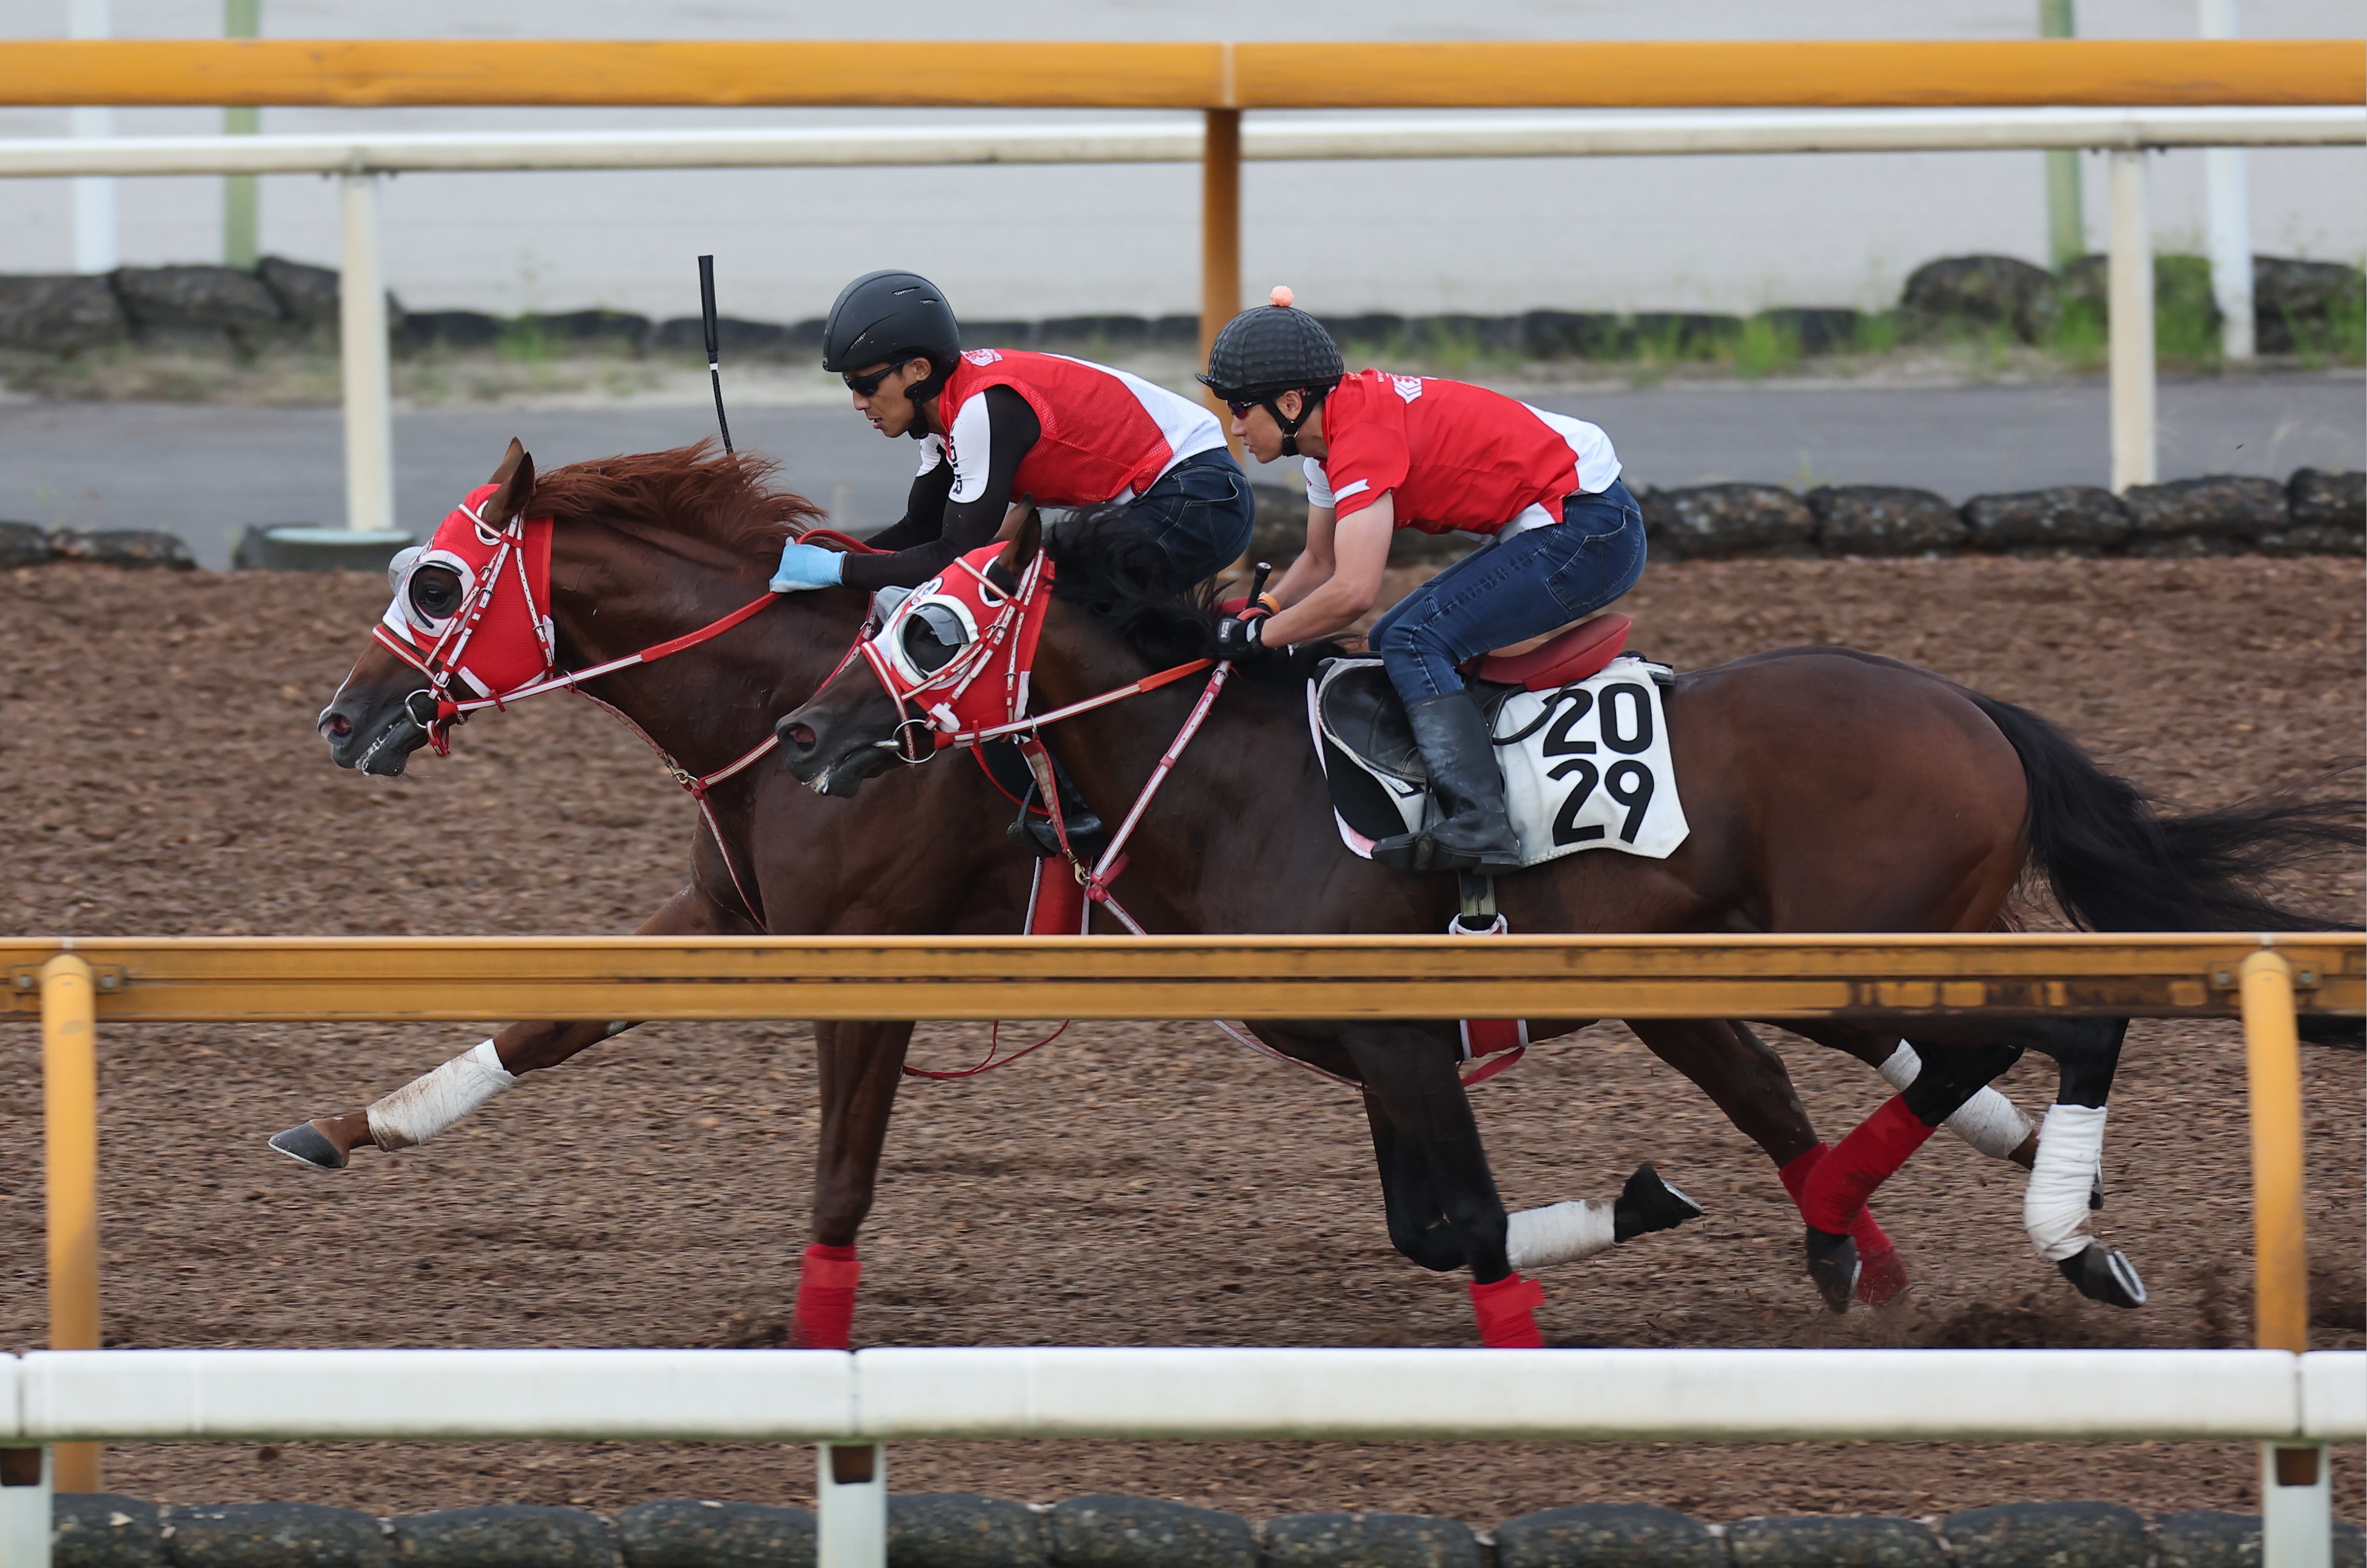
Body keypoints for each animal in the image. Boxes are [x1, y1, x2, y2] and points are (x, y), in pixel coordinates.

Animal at [771, 506, 2348, 1334]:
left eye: (928, 626)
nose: (800, 733)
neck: (1239, 781)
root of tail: (1972, 710)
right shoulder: (1381, 1047)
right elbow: (1426, 1224)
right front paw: (1642, 1200)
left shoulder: (1402, 1042)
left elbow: (1460, 1219)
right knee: (1973, 1053)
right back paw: (1898, 1227)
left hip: (1856, 955)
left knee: (2070, 1021)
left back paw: (2033, 1231)